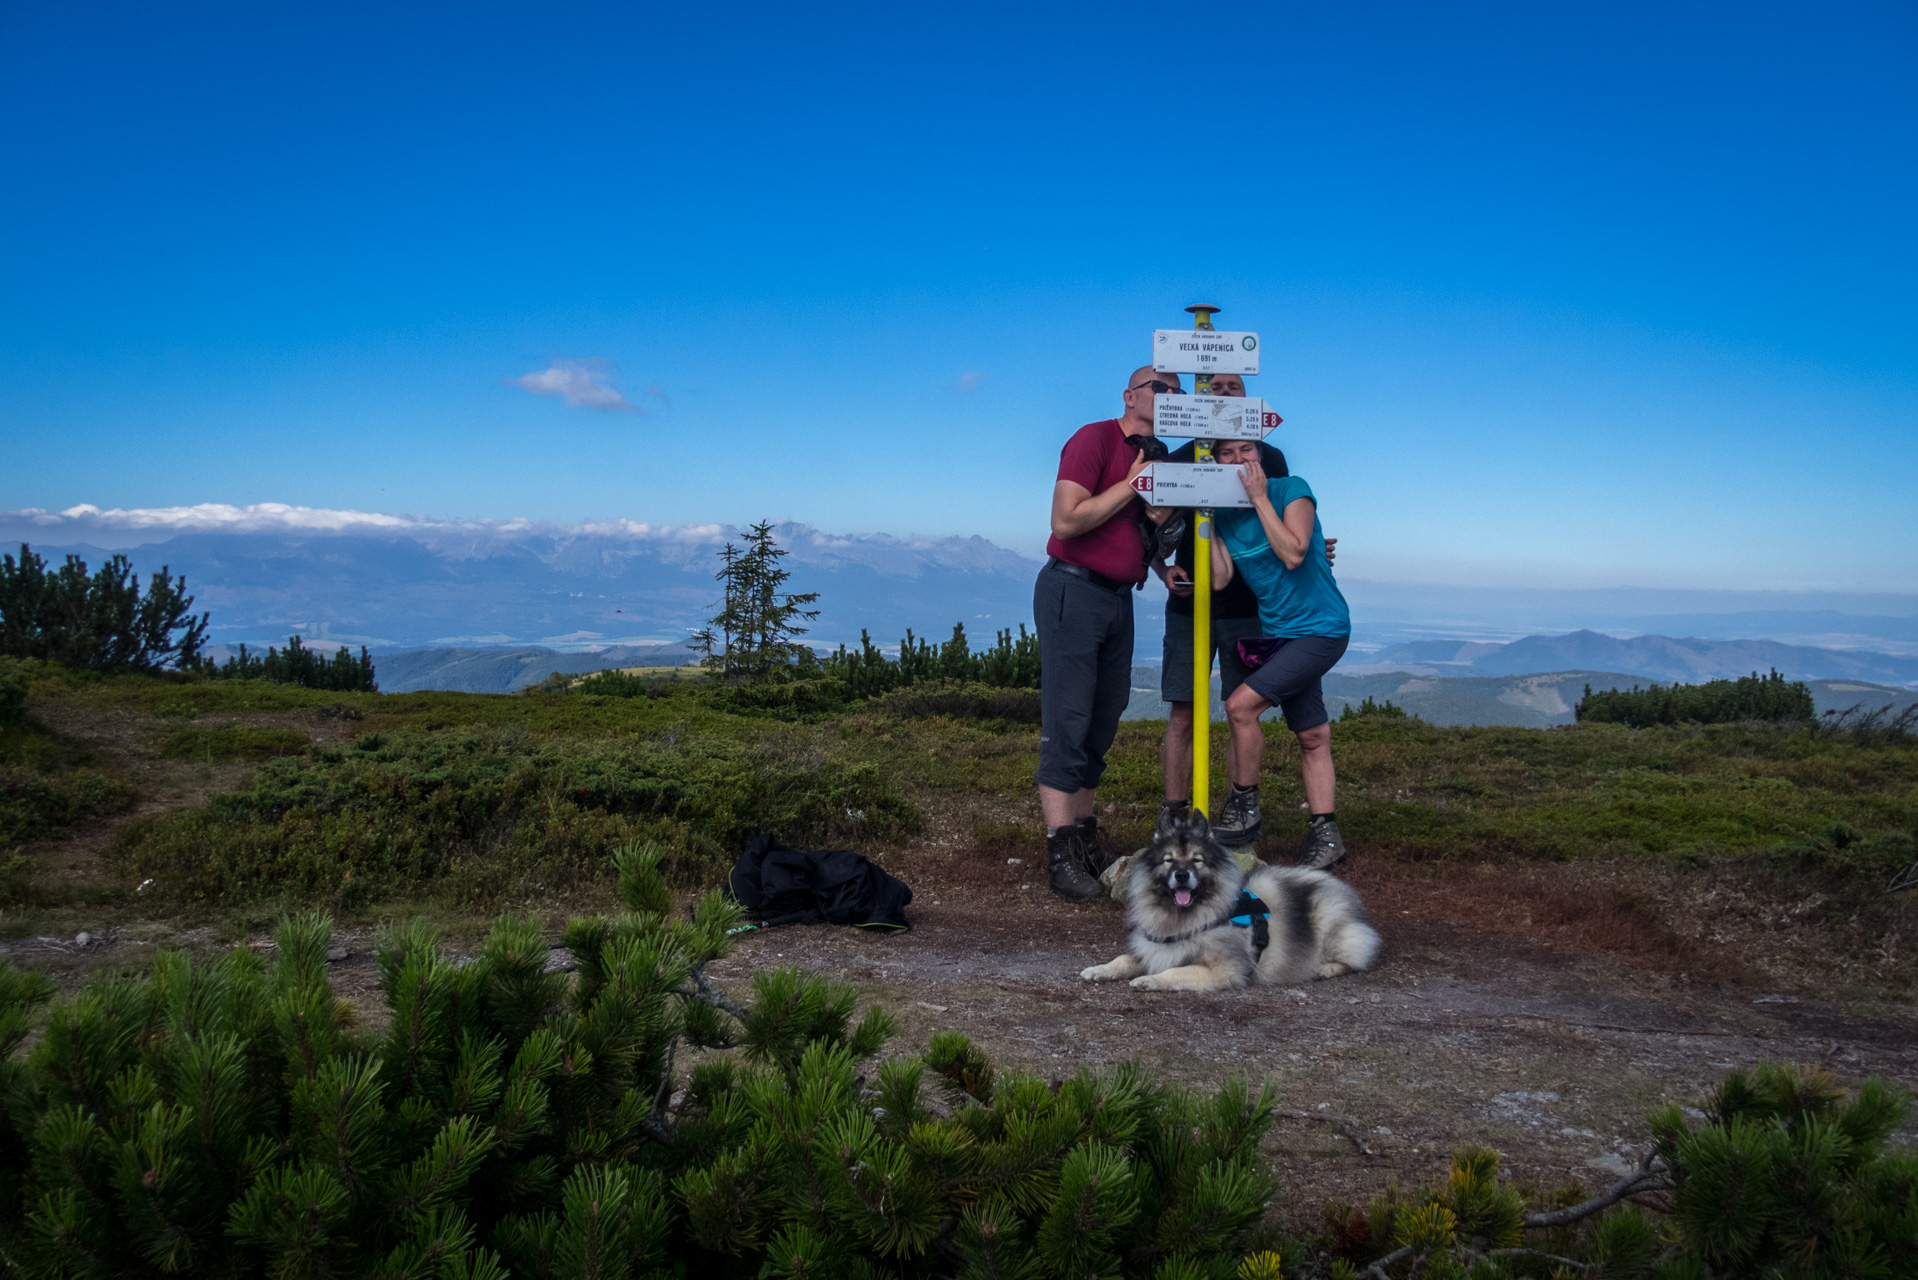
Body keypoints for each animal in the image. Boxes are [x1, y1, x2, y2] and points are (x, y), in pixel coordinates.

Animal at [1081, 809, 1380, 990]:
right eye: (1169, 860)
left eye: (1197, 860)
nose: (1181, 875)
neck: (1185, 917)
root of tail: (1336, 885)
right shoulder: (1153, 948)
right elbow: (1123, 959)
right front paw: (1098, 970)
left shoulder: (1222, 969)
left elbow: (1175, 972)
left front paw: (1149, 979)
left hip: (1335, 930)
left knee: (1355, 956)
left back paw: (1326, 969)